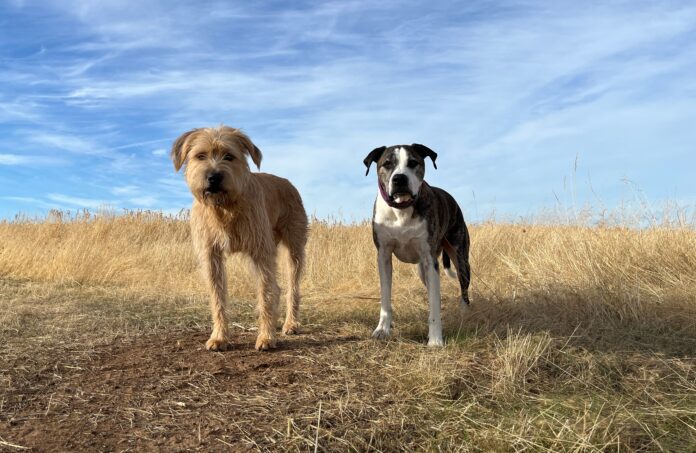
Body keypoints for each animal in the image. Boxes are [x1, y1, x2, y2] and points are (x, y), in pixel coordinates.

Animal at [171, 125, 308, 352]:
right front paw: (219, 337)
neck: (225, 207)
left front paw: (266, 337)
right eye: (200, 156)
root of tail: (287, 183)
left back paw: (291, 324)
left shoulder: (261, 253)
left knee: (291, 288)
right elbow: (217, 297)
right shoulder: (211, 256)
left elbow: (265, 293)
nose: (214, 177)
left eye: (229, 156)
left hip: (295, 248)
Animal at [364, 144, 474, 346]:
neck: (402, 208)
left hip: (460, 257)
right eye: (387, 164)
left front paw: (436, 340)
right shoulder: (383, 256)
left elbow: (434, 304)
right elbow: (385, 297)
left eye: (413, 162)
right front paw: (382, 330)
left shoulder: (430, 260)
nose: (399, 178)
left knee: (463, 287)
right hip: (423, 270)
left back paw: (464, 311)